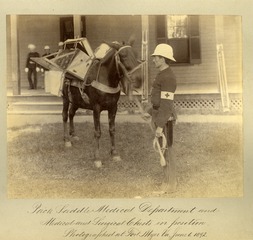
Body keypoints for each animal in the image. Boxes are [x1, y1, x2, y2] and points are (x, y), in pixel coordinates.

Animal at [61, 39, 142, 167]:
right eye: (123, 55)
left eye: (136, 53)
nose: (139, 79)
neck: (106, 79)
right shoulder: (96, 108)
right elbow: (97, 132)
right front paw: (97, 158)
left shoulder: (113, 108)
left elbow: (112, 130)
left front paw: (114, 153)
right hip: (65, 98)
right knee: (65, 115)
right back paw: (67, 140)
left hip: (76, 101)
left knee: (71, 113)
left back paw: (73, 134)